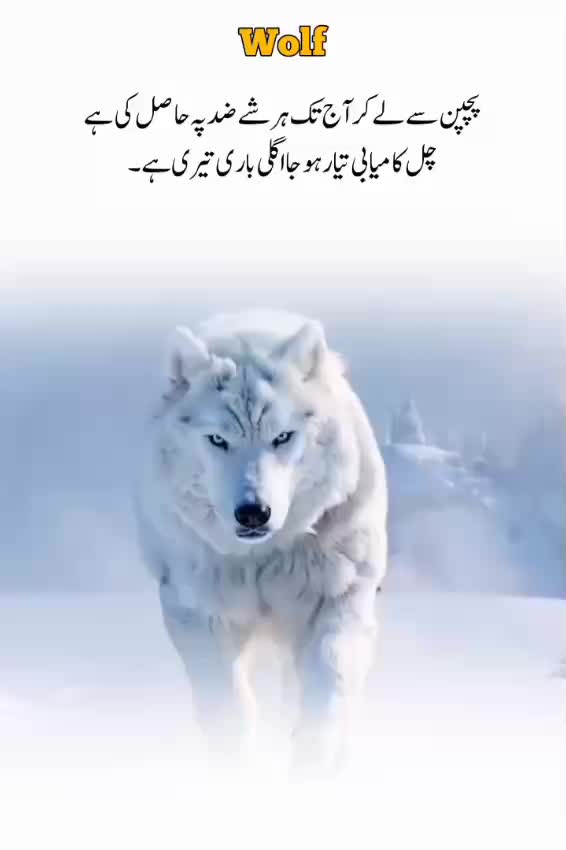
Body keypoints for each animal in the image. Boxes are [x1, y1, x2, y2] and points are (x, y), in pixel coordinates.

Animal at [134, 310, 388, 772]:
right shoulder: (201, 614)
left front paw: (313, 763)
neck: (261, 558)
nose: (253, 512)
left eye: (282, 437)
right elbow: (228, 709)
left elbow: (327, 689)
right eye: (218, 440)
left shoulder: (338, 599)